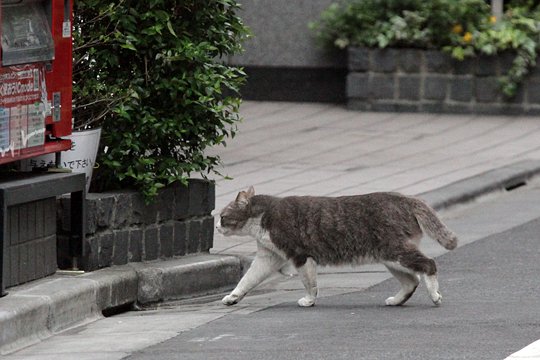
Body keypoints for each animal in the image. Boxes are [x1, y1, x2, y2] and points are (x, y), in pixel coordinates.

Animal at [215, 187, 456, 308]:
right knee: (411, 281)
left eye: (223, 217)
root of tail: (407, 198)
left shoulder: (300, 255)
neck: (263, 218)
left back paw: (434, 295)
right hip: (389, 256)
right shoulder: (268, 257)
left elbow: (309, 283)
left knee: (428, 265)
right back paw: (396, 300)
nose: (216, 226)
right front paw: (233, 297)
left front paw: (309, 300)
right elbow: (248, 279)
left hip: (395, 250)